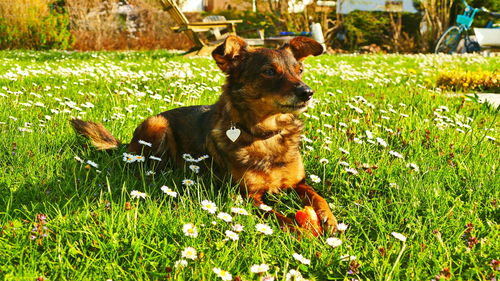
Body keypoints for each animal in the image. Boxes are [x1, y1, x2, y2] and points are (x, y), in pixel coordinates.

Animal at [72, 35, 338, 232]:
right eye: (269, 71)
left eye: (299, 70)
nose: (307, 93)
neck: (266, 134)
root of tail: (126, 145)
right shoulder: (248, 195)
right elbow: (279, 217)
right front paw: (302, 230)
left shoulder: (298, 183)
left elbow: (317, 196)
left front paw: (329, 219)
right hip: (157, 125)